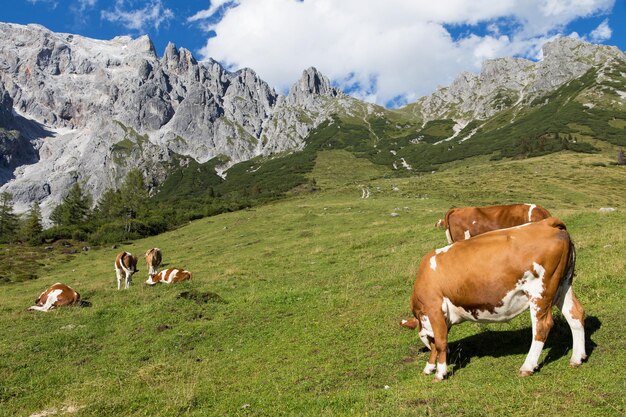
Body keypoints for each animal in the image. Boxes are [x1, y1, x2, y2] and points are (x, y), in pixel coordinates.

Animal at [400, 218, 584, 380]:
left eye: (426, 338)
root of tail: (547, 223)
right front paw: (429, 368)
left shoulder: (434, 307)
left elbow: (440, 341)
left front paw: (439, 373)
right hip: (563, 285)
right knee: (575, 314)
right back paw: (577, 358)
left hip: (540, 292)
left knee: (542, 326)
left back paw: (527, 367)